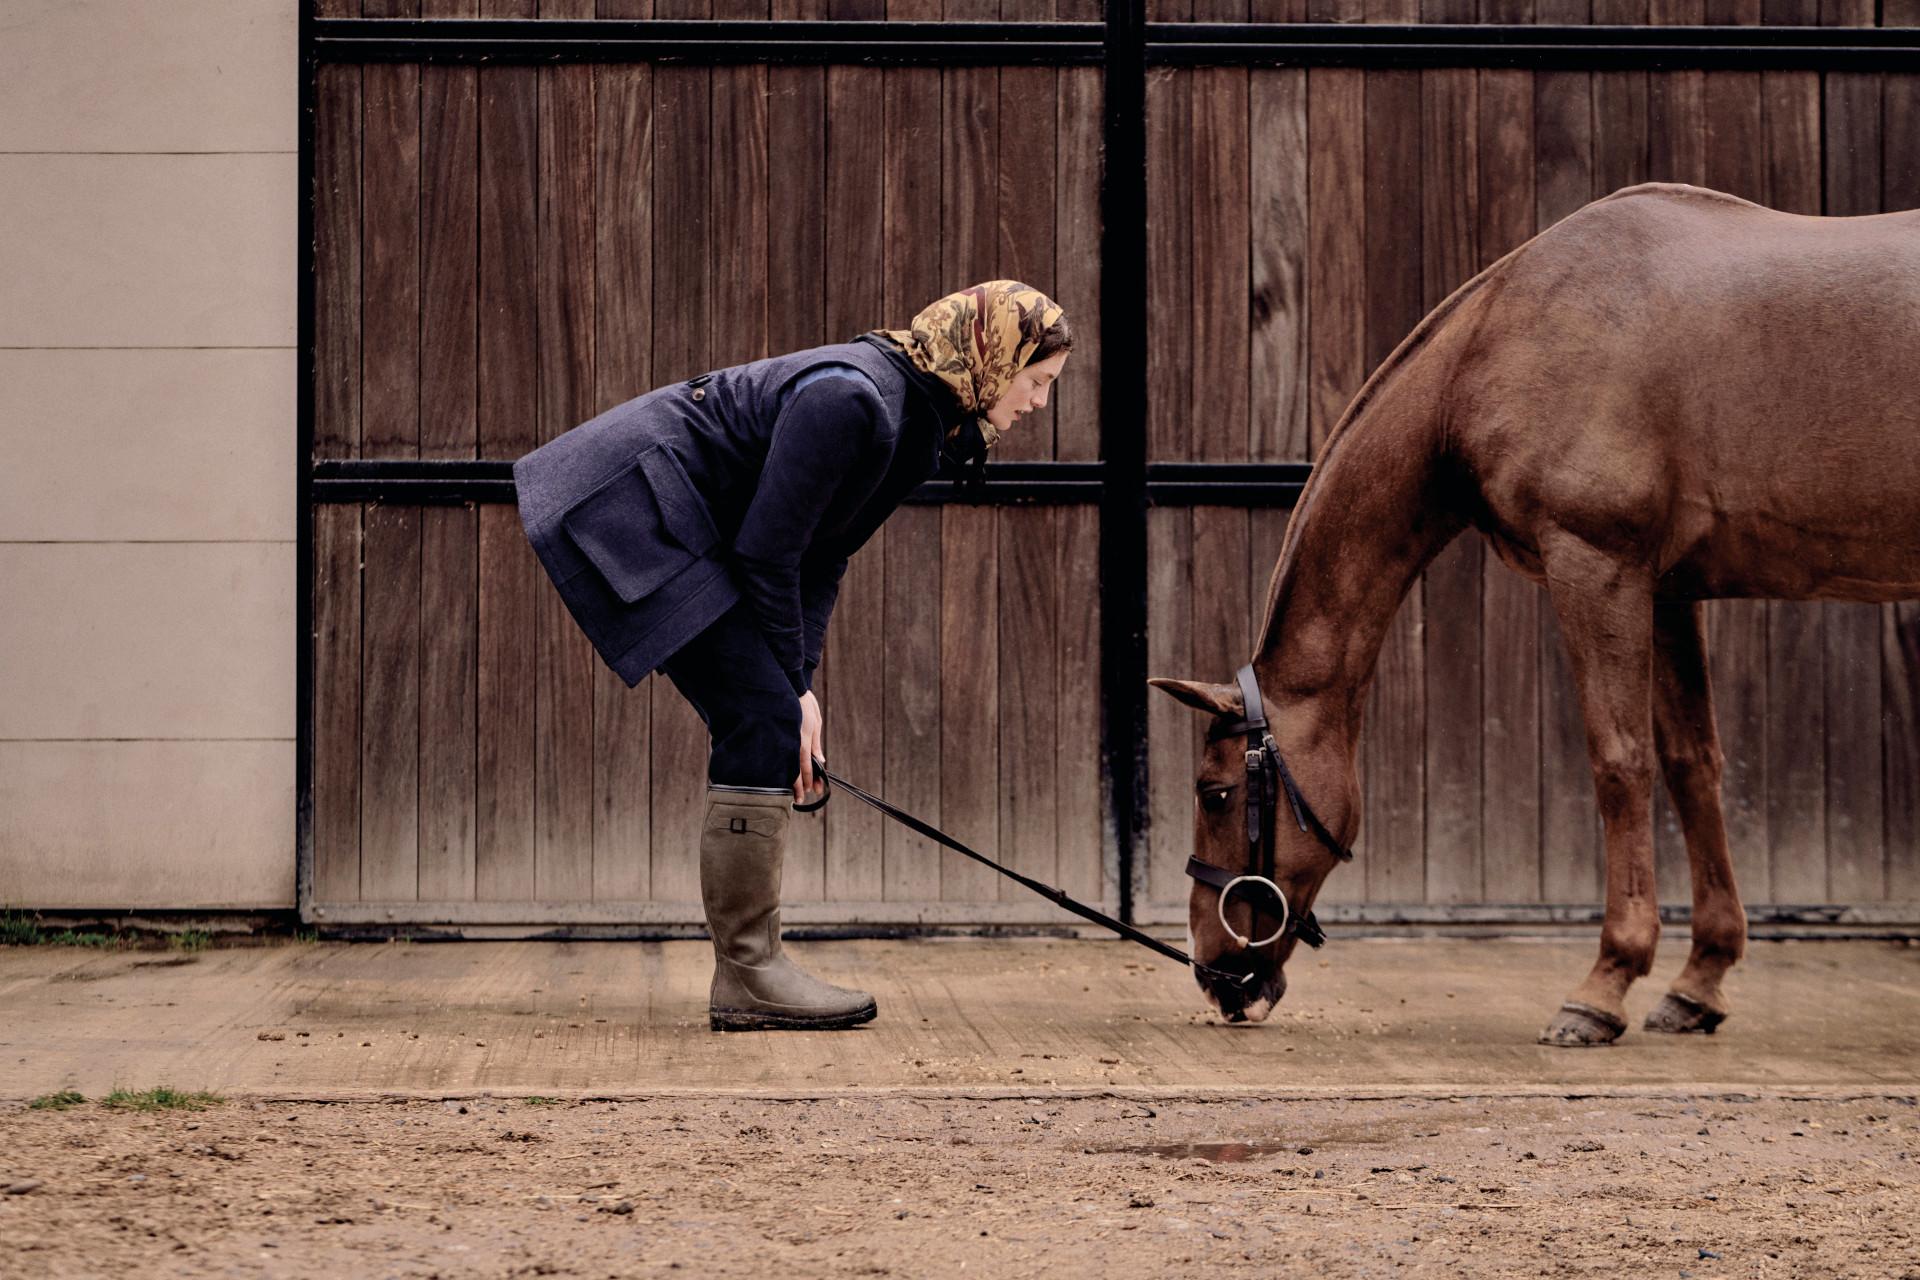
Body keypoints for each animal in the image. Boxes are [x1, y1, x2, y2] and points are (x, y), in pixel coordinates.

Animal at [1144, 182, 1912, 1043]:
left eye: (1215, 793)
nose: (1214, 973)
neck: (1499, 343)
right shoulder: (1668, 592)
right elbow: (1693, 766)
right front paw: (1698, 981)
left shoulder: (1597, 567)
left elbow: (1620, 764)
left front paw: (1605, 985)